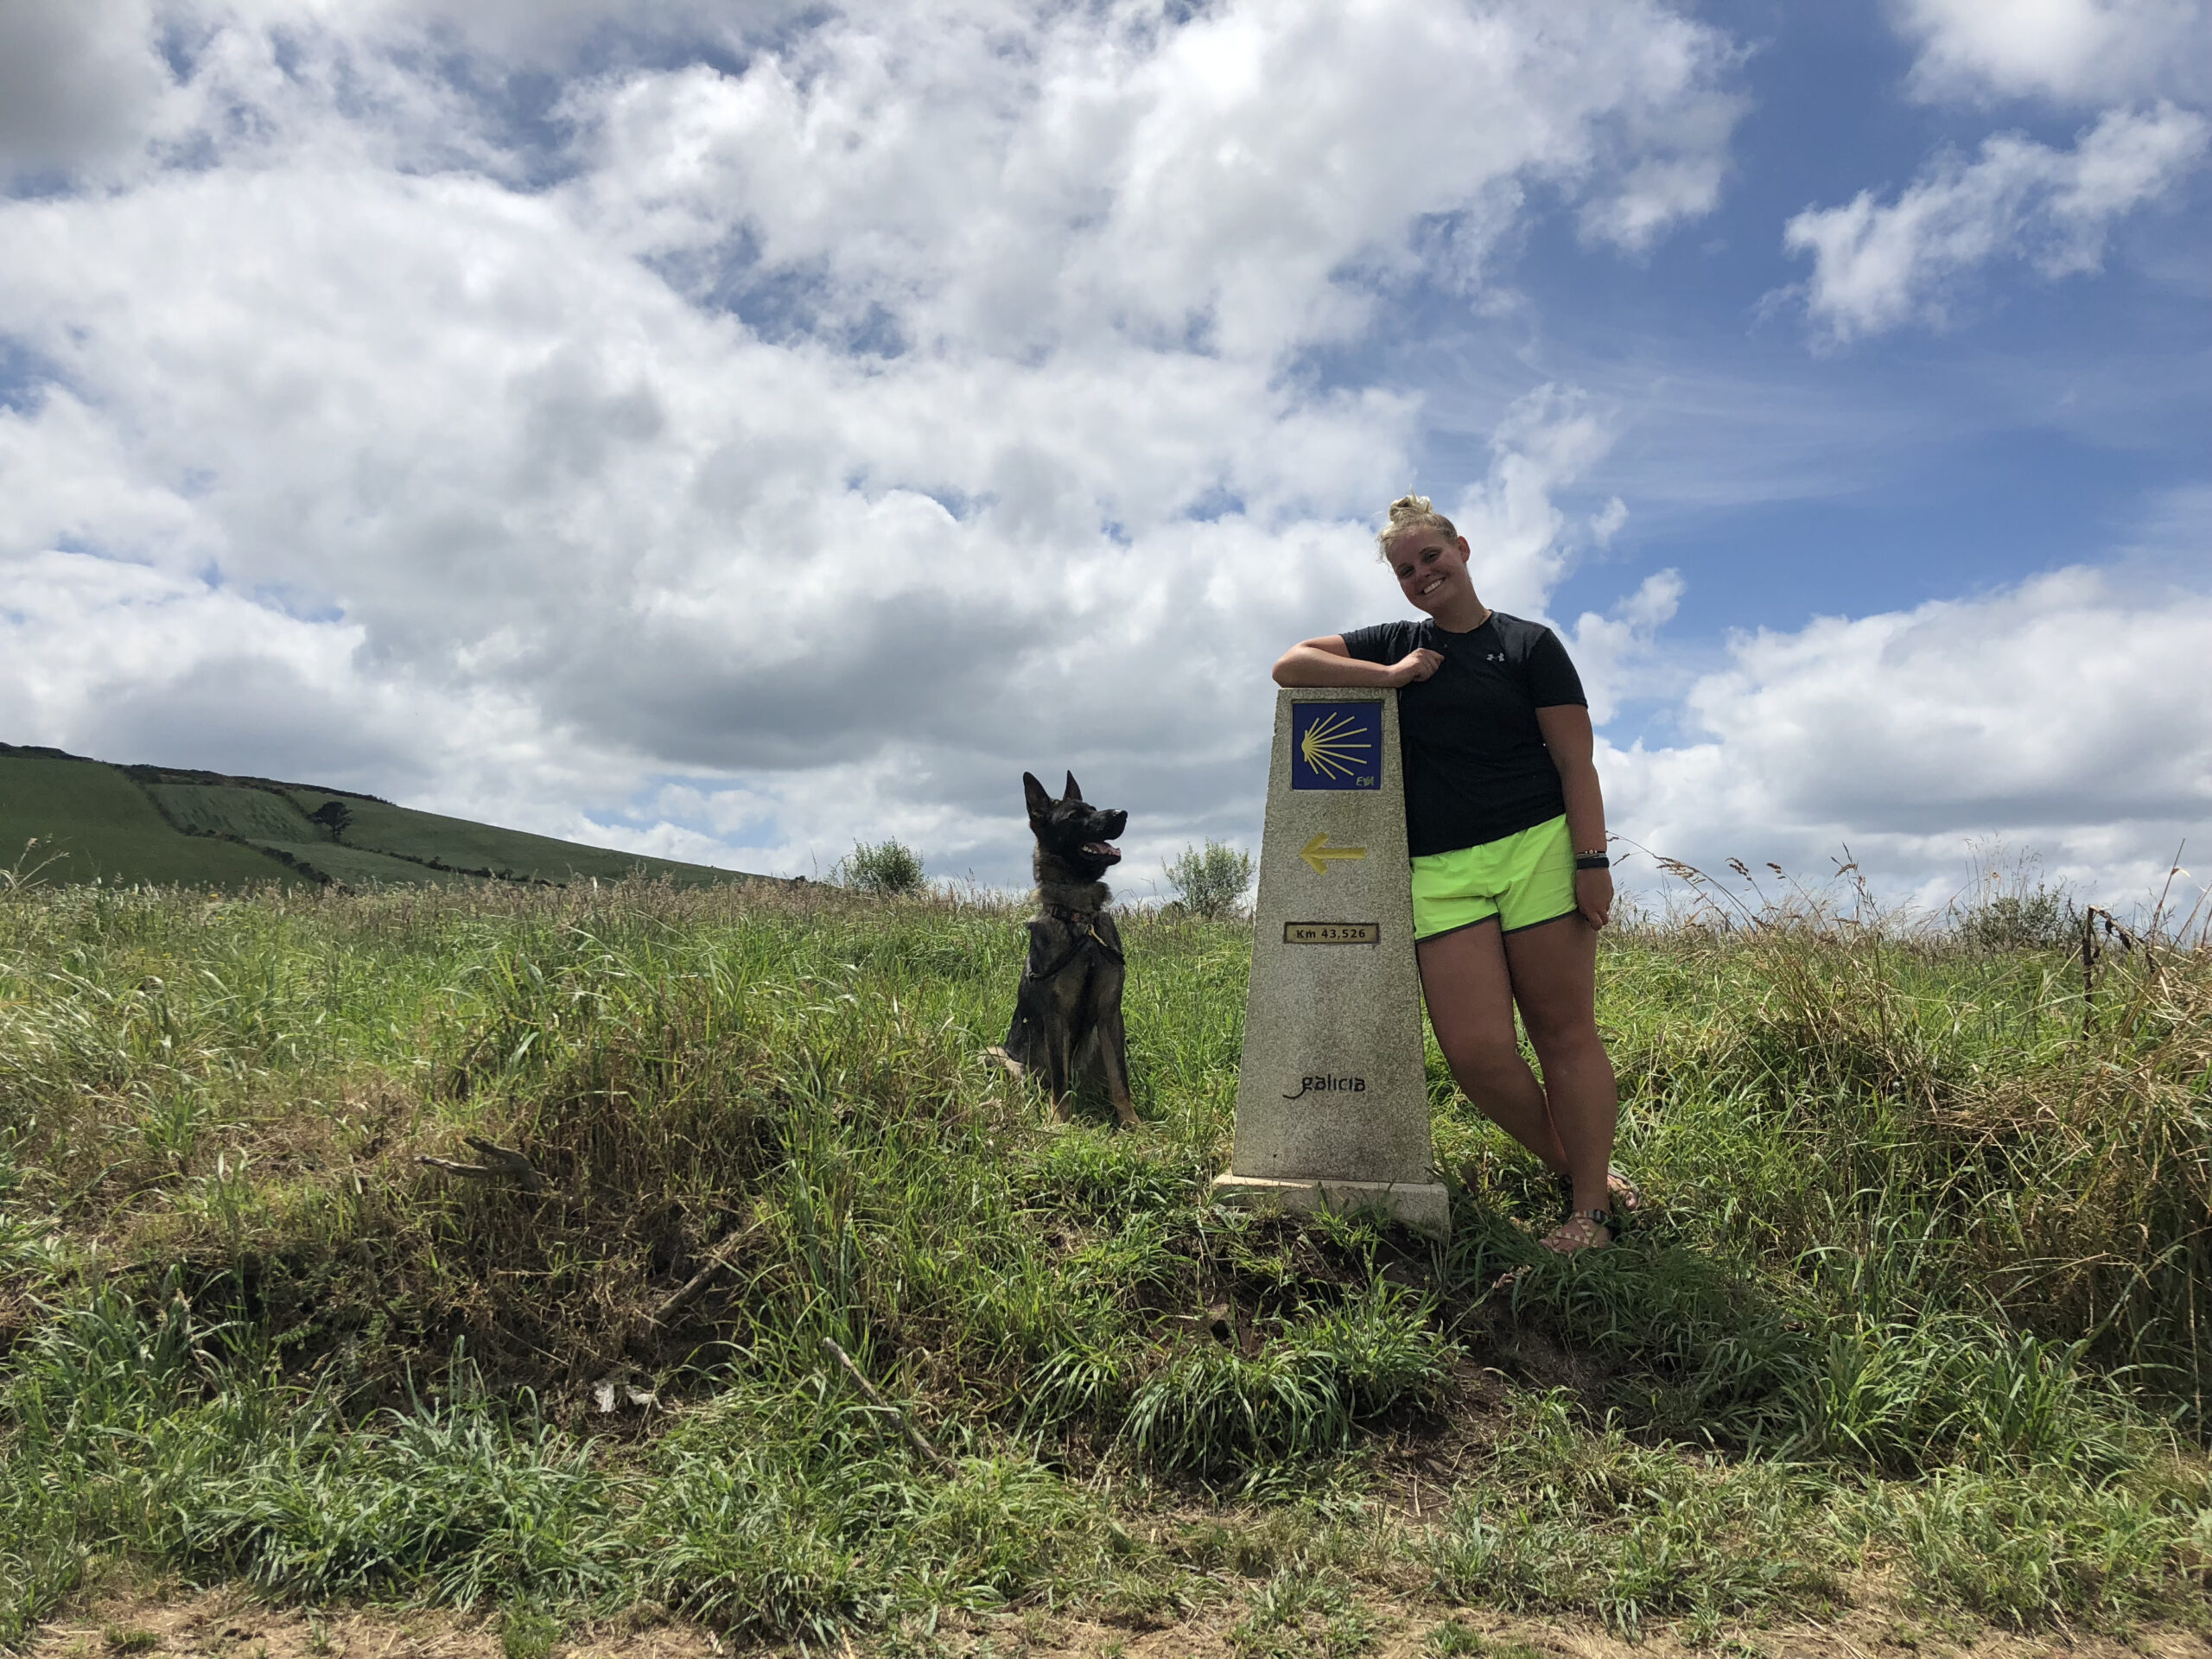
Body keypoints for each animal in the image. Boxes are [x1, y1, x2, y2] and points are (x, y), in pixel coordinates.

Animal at [995, 769, 1150, 1132]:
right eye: (1074, 816)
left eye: (1093, 808)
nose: (1122, 813)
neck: (1081, 921)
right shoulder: (1057, 1017)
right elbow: (1060, 1077)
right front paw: (1059, 1122)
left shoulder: (1110, 1014)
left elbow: (1121, 1080)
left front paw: (1131, 1122)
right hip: (998, 1055)